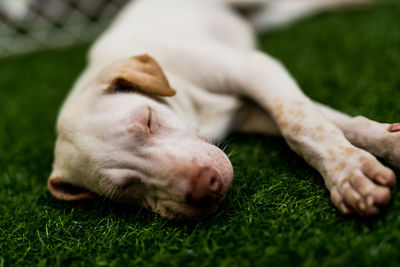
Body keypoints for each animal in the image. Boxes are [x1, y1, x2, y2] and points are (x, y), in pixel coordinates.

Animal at [47, 0, 396, 220]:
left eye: (148, 120)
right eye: (124, 189)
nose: (205, 188)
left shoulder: (255, 68)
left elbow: (302, 123)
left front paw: (350, 172)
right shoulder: (250, 112)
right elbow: (324, 120)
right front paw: (380, 147)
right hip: (266, 16)